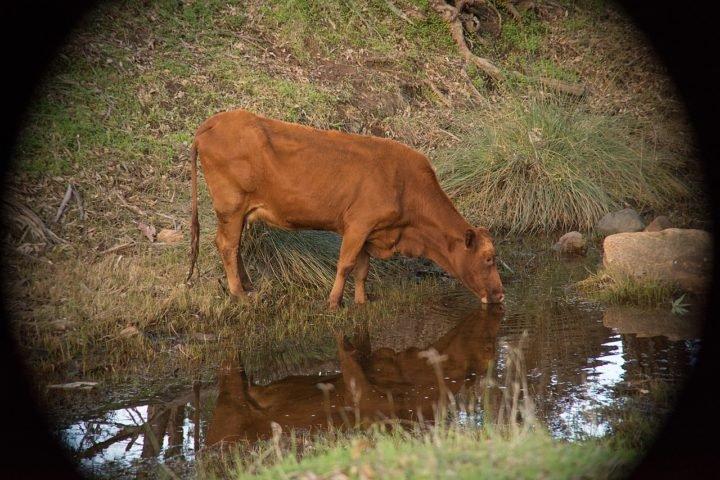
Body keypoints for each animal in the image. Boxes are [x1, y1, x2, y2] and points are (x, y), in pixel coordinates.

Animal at [187, 109, 500, 308]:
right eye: (488, 258)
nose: (500, 295)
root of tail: (212, 122)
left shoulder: (371, 232)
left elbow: (362, 269)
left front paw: (362, 300)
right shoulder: (358, 224)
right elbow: (346, 264)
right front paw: (334, 301)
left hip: (240, 212)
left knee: (235, 245)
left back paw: (248, 286)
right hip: (230, 206)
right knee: (226, 245)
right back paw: (238, 293)